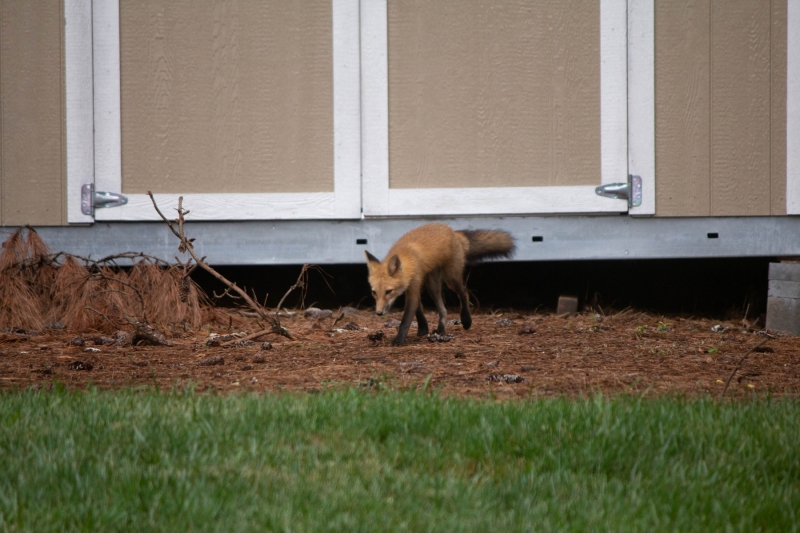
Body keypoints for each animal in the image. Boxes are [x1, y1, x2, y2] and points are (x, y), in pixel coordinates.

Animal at [365, 223, 515, 346]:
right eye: (374, 292)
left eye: (388, 291)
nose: (379, 313)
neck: (408, 259)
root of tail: (453, 232)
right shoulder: (412, 287)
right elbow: (418, 309)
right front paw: (423, 328)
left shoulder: (414, 285)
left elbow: (406, 320)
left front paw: (399, 340)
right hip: (433, 284)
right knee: (443, 309)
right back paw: (441, 329)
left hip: (451, 278)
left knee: (464, 293)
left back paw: (466, 320)